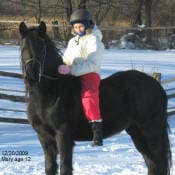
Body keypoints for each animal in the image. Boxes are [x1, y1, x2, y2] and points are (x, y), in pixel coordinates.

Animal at [18, 21, 172, 175]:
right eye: (23, 47)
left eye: (42, 47)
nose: (32, 75)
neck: (50, 93)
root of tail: (157, 86)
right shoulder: (44, 138)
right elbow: (50, 167)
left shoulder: (63, 136)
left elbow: (65, 167)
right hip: (137, 132)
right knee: (152, 163)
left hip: (150, 132)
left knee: (158, 162)